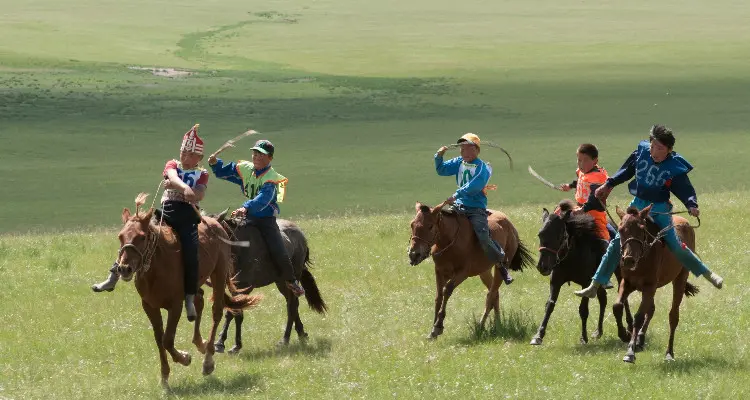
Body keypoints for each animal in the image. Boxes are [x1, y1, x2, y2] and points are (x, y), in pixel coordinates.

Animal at [114, 194, 262, 388]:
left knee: (216, 311)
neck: (158, 266)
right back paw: (200, 343)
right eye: (121, 236)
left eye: (142, 237)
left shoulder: (175, 305)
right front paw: (165, 377)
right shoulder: (149, 306)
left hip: (219, 274)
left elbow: (167, 339)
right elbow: (159, 339)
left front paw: (184, 358)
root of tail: (216, 223)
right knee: (199, 301)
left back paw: (208, 360)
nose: (124, 269)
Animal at [213, 212, 328, 350]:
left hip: (291, 279)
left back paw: (285, 339)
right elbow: (232, 311)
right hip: (281, 282)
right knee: (292, 304)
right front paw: (222, 342)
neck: (239, 249)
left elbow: (234, 312)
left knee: (292, 305)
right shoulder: (234, 287)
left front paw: (231, 345)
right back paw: (301, 334)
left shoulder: (244, 287)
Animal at [408, 202, 536, 340]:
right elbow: (439, 296)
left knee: (491, 295)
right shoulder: (439, 271)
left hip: (501, 267)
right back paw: (498, 325)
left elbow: (447, 290)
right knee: (494, 294)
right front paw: (433, 330)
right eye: (412, 224)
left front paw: (438, 326)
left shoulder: (462, 273)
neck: (450, 241)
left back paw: (481, 326)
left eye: (430, 226)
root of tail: (510, 225)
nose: (414, 254)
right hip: (484, 272)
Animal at [532, 202, 632, 346]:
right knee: (603, 299)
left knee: (623, 295)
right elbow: (549, 305)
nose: (543, 266)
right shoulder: (556, 282)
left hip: (618, 273)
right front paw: (538, 335)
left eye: (559, 235)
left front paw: (583, 337)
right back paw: (598, 331)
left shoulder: (586, 283)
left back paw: (629, 326)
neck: (571, 254)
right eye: (540, 234)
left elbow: (583, 310)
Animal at [612, 205, 704, 364]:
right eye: (621, 229)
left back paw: (669, 352)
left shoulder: (649, 287)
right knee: (651, 310)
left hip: (680, 279)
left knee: (673, 316)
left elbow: (639, 317)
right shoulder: (627, 283)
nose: (628, 259)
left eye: (641, 229)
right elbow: (617, 306)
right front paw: (624, 334)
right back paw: (640, 339)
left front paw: (630, 352)